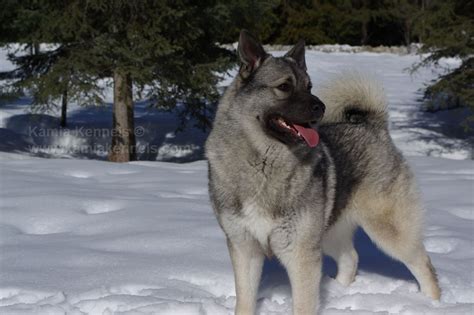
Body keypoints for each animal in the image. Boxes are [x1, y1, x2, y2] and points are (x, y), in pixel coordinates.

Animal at [206, 30, 440, 315]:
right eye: (284, 86)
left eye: (309, 86)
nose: (321, 106)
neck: (262, 162)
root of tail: (374, 126)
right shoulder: (245, 249)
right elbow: (245, 302)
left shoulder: (301, 254)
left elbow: (303, 304)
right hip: (328, 232)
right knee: (351, 258)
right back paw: (341, 291)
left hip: (388, 231)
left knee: (424, 263)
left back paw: (433, 303)